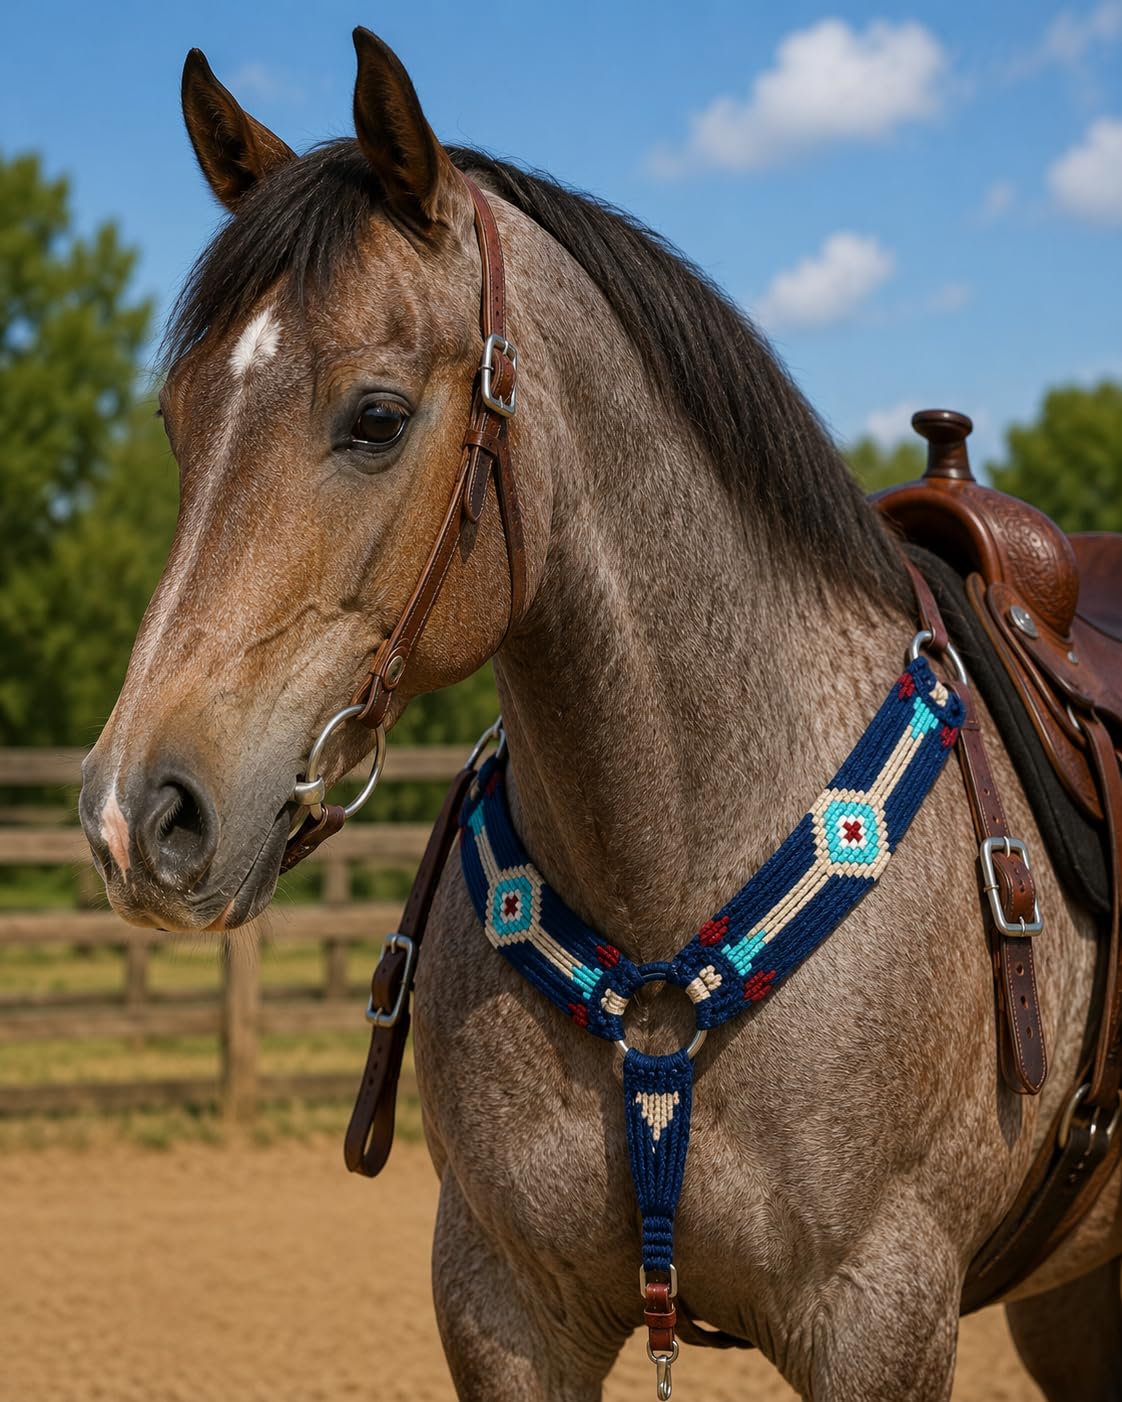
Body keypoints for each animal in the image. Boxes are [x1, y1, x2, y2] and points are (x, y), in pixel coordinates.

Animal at [78, 29, 1122, 1401]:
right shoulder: (504, 1305)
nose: (133, 815)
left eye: (376, 415)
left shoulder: (881, 1319)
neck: (668, 895)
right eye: (177, 416)